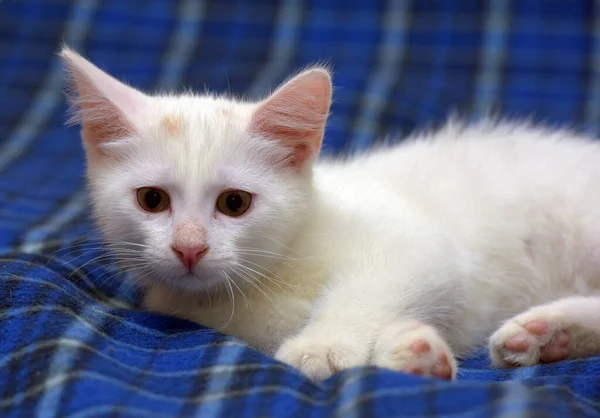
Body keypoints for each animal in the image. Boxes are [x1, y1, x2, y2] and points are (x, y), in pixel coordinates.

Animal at [62, 47, 600, 380]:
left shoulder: (415, 242)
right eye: (152, 200)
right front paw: (415, 352)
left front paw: (322, 346)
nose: (188, 247)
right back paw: (547, 337)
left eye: (235, 203)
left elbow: (368, 290)